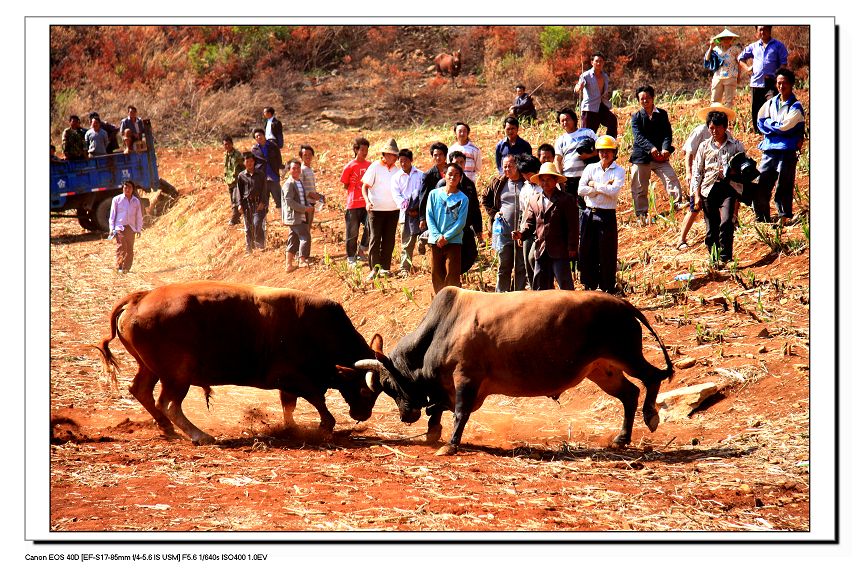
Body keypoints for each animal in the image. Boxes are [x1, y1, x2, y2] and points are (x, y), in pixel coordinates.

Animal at [91, 282, 382, 446]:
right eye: (366, 390)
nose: (362, 415)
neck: (320, 329)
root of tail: (140, 297)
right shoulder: (296, 379)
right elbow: (318, 402)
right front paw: (324, 426)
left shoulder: (287, 385)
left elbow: (289, 407)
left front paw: (292, 428)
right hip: (177, 375)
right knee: (169, 404)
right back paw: (198, 435)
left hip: (150, 368)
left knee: (141, 391)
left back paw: (166, 428)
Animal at [354, 290, 672, 456]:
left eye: (391, 387)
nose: (406, 416)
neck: (442, 329)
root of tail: (622, 303)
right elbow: (440, 408)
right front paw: (433, 431)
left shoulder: (466, 379)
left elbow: (458, 413)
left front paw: (450, 445)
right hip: (602, 369)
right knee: (630, 393)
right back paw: (622, 438)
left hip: (626, 356)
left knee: (653, 377)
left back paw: (651, 416)